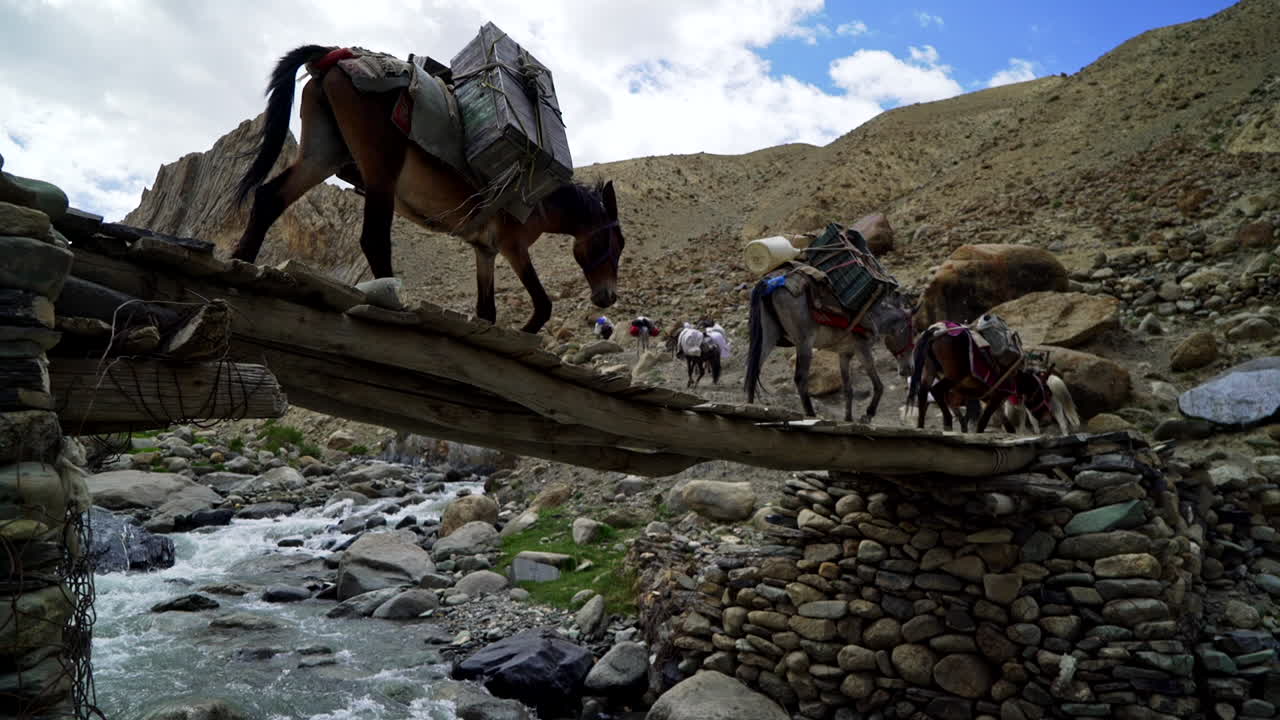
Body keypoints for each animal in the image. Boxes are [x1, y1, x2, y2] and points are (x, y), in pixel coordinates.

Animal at [231, 45, 626, 334]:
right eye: (616, 243)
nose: (608, 298)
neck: (541, 199)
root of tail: (337, 53)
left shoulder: (485, 249)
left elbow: (487, 311)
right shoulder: (513, 246)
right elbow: (543, 306)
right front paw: (526, 334)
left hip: (324, 153)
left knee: (268, 198)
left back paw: (242, 262)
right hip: (380, 169)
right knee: (373, 238)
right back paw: (390, 301)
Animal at [743, 274, 915, 423]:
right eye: (913, 333)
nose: (908, 370)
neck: (875, 318)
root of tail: (771, 283)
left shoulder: (845, 354)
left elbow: (848, 389)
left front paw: (848, 418)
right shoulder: (862, 349)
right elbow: (878, 385)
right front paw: (868, 414)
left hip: (769, 337)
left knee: (753, 370)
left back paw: (751, 407)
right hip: (804, 342)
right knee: (800, 378)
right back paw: (811, 415)